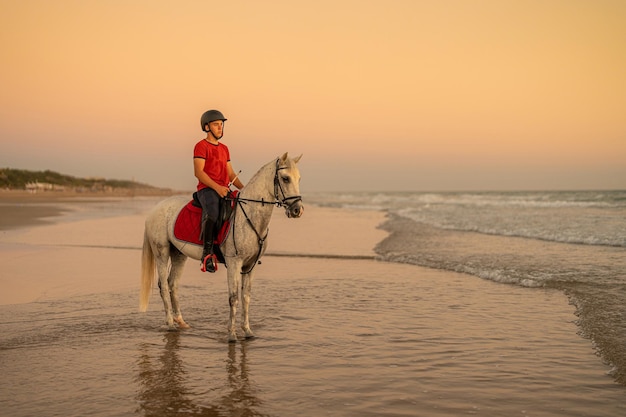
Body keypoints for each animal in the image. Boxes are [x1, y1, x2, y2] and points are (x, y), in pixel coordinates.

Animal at [138, 153, 302, 342]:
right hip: (162, 253)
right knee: (164, 286)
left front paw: (247, 331)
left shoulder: (250, 265)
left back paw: (181, 322)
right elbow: (233, 298)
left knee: (173, 284)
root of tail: (155, 209)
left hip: (179, 254)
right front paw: (231, 334)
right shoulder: (234, 263)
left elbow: (246, 297)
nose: (298, 210)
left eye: (299, 178)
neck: (250, 216)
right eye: (285, 178)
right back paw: (170, 324)